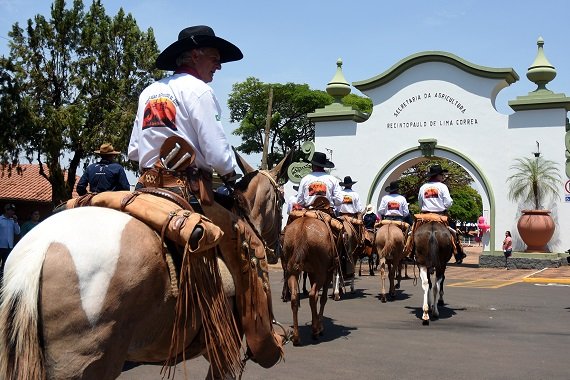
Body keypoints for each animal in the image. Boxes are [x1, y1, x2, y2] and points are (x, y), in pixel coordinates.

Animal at [280, 215, 338, 346]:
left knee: (295, 297)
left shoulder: (312, 273)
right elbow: (322, 298)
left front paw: (314, 322)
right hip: (321, 273)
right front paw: (319, 326)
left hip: (292, 272)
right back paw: (315, 332)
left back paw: (296, 337)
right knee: (312, 295)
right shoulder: (327, 274)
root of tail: (302, 228)